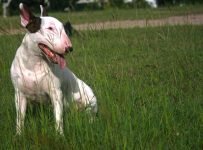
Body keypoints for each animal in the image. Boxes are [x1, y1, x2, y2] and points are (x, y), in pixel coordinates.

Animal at [10, 3, 97, 135]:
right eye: (50, 28)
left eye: (63, 28)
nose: (69, 48)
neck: (35, 64)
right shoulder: (19, 95)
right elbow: (20, 118)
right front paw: (19, 135)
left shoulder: (56, 93)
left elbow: (58, 118)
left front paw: (60, 135)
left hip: (90, 101)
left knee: (90, 115)